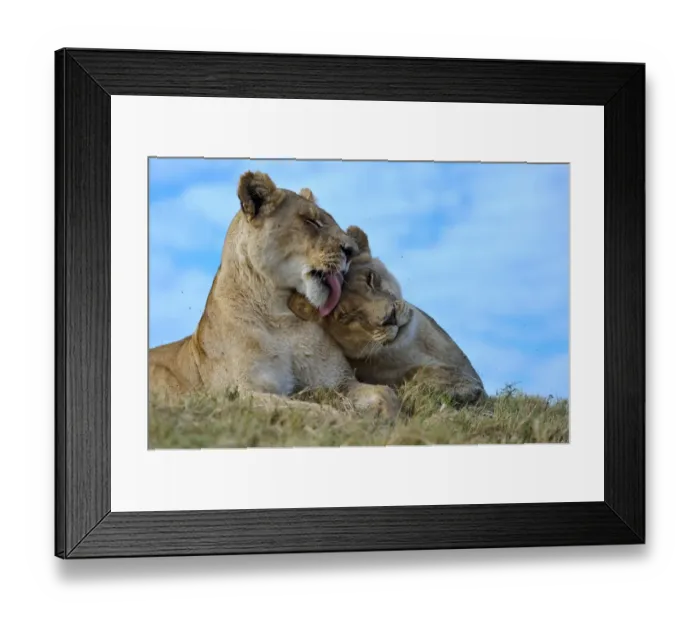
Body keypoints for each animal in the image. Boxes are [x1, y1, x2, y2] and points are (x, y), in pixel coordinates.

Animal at [148, 172, 399, 417]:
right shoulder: (240, 394)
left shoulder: (340, 381)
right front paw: (346, 421)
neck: (280, 316)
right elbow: (313, 411)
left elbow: (386, 394)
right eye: (311, 221)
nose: (351, 250)